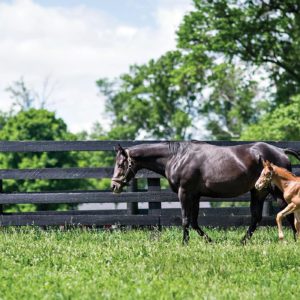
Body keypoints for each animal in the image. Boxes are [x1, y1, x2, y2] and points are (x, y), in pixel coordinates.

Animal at [110, 141, 300, 244]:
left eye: (120, 164)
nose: (114, 186)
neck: (177, 157)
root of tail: (281, 151)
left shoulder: (184, 193)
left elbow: (186, 220)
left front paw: (184, 243)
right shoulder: (195, 196)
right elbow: (194, 222)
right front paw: (209, 241)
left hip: (275, 192)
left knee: (287, 214)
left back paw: (293, 239)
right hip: (259, 192)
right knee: (257, 218)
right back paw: (243, 241)